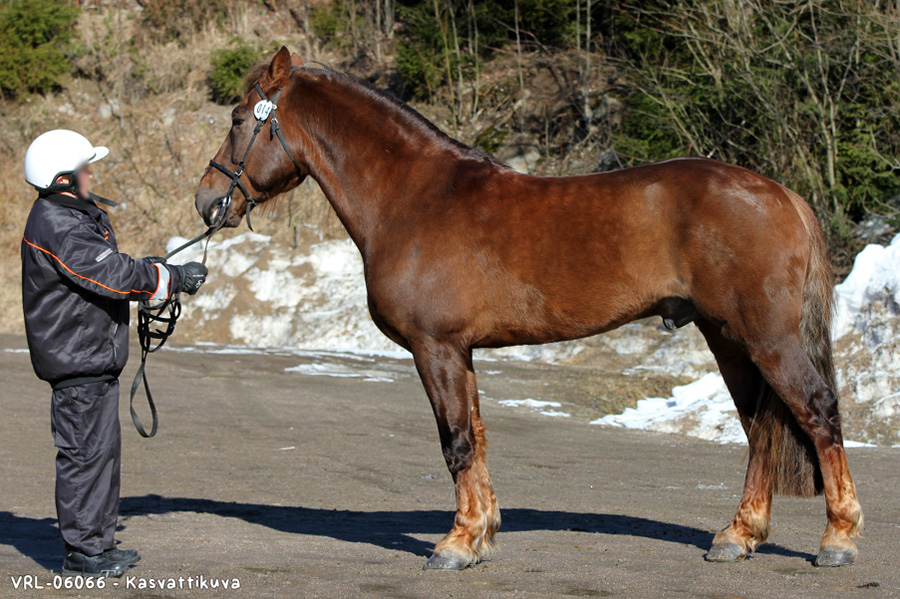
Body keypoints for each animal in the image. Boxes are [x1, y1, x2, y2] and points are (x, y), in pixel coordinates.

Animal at [194, 46, 862, 570]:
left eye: (237, 118)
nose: (207, 200)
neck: (413, 197)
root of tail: (782, 194)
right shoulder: (460, 351)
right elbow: (477, 438)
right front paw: (480, 533)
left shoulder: (435, 348)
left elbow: (457, 442)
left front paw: (455, 546)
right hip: (728, 339)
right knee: (760, 428)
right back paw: (738, 535)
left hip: (766, 337)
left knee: (816, 413)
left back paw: (838, 539)